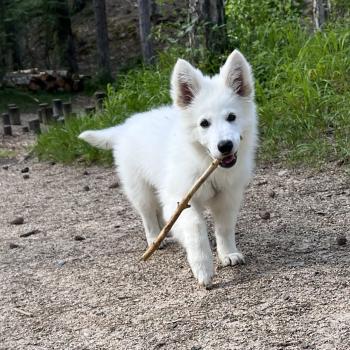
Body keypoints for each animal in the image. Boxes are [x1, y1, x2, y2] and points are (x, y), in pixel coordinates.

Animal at [80, 50, 258, 288]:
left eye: (232, 117)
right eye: (204, 123)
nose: (225, 146)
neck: (203, 162)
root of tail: (124, 127)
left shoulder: (228, 196)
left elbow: (224, 228)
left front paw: (228, 253)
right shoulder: (182, 198)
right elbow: (195, 228)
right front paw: (203, 268)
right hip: (140, 189)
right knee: (147, 214)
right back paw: (154, 238)